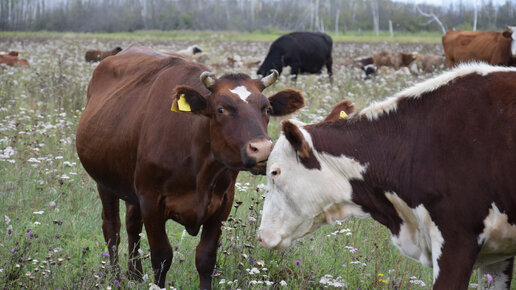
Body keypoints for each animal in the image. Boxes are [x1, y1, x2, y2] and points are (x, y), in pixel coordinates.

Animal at [74, 42, 304, 288]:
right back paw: (116, 277)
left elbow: (205, 258)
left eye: (267, 109)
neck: (200, 168)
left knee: (132, 225)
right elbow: (161, 257)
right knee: (112, 228)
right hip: (104, 182)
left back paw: (134, 274)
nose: (262, 149)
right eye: (221, 109)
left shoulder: (222, 204)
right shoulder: (151, 201)